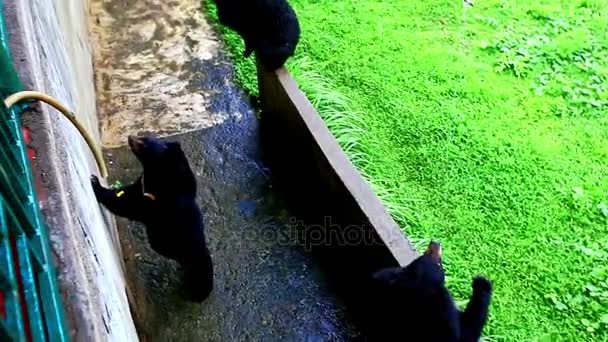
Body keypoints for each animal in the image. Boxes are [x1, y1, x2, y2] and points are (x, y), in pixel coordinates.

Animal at [89, 136, 214, 302]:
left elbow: (128, 205)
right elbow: (125, 193)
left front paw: (95, 182)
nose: (130, 137)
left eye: (144, 142)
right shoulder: (141, 185)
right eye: (144, 136)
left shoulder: (157, 204)